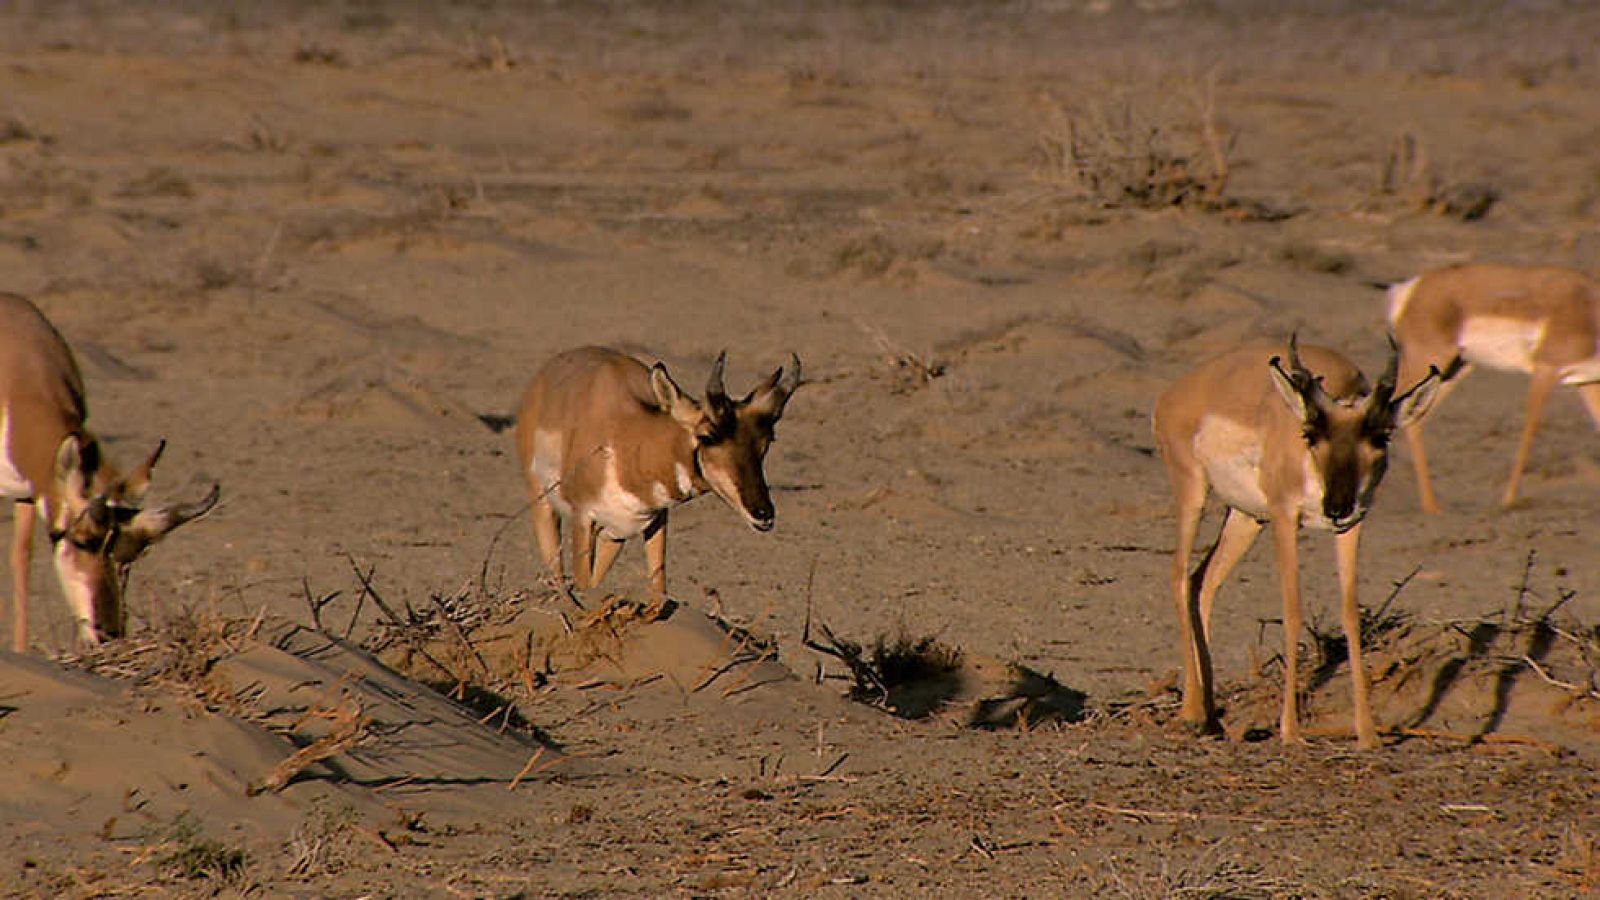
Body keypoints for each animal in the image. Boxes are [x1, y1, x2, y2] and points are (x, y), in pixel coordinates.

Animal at [515, 344, 800, 614]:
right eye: (707, 436)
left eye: (767, 440)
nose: (763, 514)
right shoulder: (583, 520)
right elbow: (583, 588)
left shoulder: (653, 521)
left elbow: (659, 596)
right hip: (544, 506)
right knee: (559, 576)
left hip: (612, 537)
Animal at [1152, 333, 1452, 746]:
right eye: (1310, 434)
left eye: (1380, 436)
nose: (1336, 506)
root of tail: (1173, 396)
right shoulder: (1285, 519)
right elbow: (1292, 611)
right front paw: (1291, 732)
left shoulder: (1352, 526)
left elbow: (1349, 614)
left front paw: (1368, 735)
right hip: (1194, 496)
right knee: (1179, 577)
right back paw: (1191, 715)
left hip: (1247, 519)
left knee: (1203, 582)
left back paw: (1211, 719)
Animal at [1388, 262, 1600, 509]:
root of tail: (1410, 288)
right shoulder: (1545, 371)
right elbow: (1531, 429)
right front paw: (1508, 501)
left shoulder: (1587, 381)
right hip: (1424, 365)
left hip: (1451, 372)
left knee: (1414, 421)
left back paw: (1432, 508)